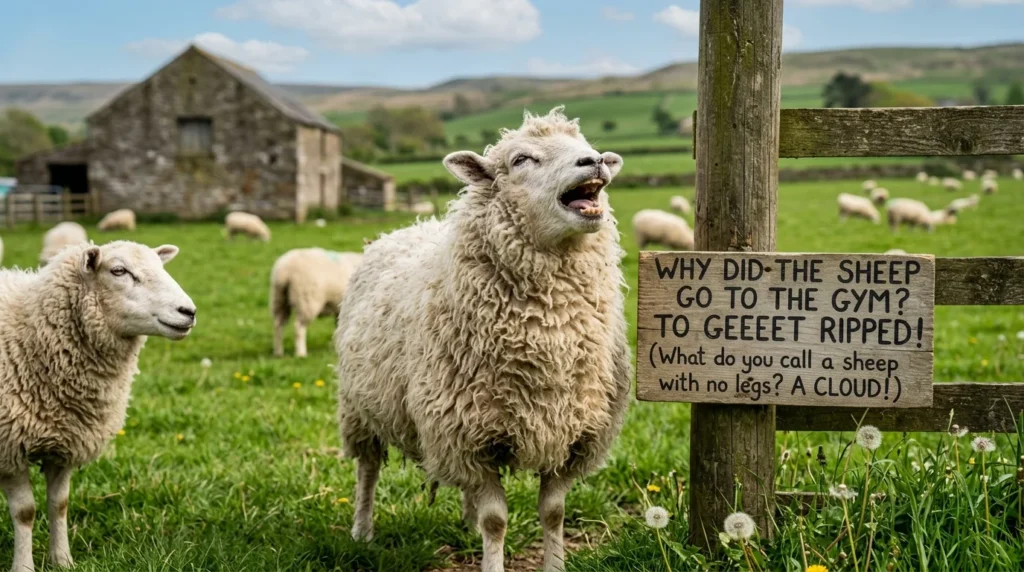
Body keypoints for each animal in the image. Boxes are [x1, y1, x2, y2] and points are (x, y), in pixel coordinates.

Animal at [0, 241, 195, 572]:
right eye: (119, 271)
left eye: (161, 266)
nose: (189, 312)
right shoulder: (11, 447)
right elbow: (25, 512)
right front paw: (24, 566)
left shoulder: (66, 443)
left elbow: (59, 505)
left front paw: (63, 561)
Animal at [335, 108, 631, 572]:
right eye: (521, 159)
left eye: (585, 144)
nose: (594, 161)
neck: (548, 326)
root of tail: (404, 229)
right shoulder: (465, 436)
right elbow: (497, 521)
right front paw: (492, 558)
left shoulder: (572, 434)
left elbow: (554, 512)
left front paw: (554, 564)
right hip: (360, 409)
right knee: (367, 470)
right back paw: (362, 532)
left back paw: (465, 520)